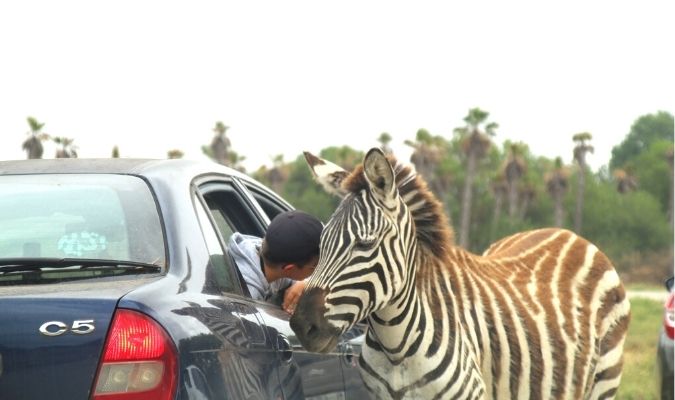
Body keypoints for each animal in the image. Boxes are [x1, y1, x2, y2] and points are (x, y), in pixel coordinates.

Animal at [290, 148, 632, 398]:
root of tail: (568, 234)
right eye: (320, 242)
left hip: (604, 379)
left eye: (365, 243)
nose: (301, 325)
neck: (396, 349)